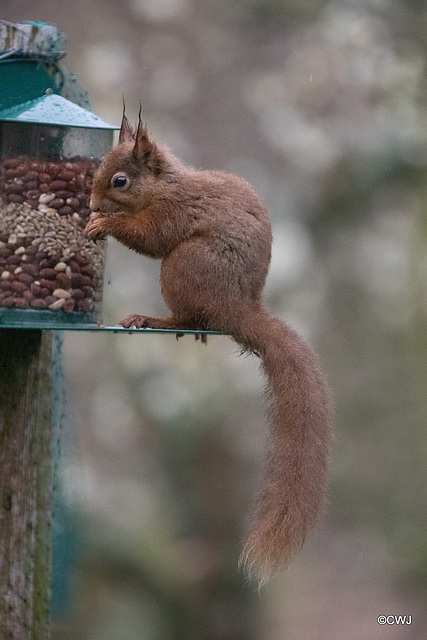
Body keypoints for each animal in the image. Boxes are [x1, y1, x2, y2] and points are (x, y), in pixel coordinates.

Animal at [86, 111, 334, 584]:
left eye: (120, 181)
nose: (90, 206)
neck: (164, 186)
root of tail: (239, 309)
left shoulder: (173, 212)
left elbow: (151, 238)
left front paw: (106, 225)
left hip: (182, 266)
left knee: (185, 310)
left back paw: (154, 319)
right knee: (196, 322)